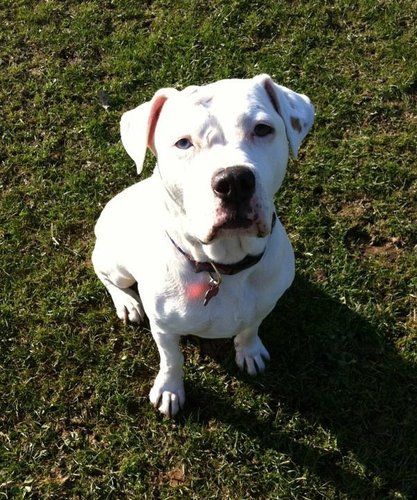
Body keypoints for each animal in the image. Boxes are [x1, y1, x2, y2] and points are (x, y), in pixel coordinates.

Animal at [92, 74, 314, 417]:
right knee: (103, 273)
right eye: (183, 142)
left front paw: (250, 351)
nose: (234, 181)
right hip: (116, 264)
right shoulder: (163, 328)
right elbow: (172, 359)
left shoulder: (264, 303)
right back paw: (126, 302)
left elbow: (250, 327)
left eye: (263, 129)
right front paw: (170, 389)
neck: (223, 267)